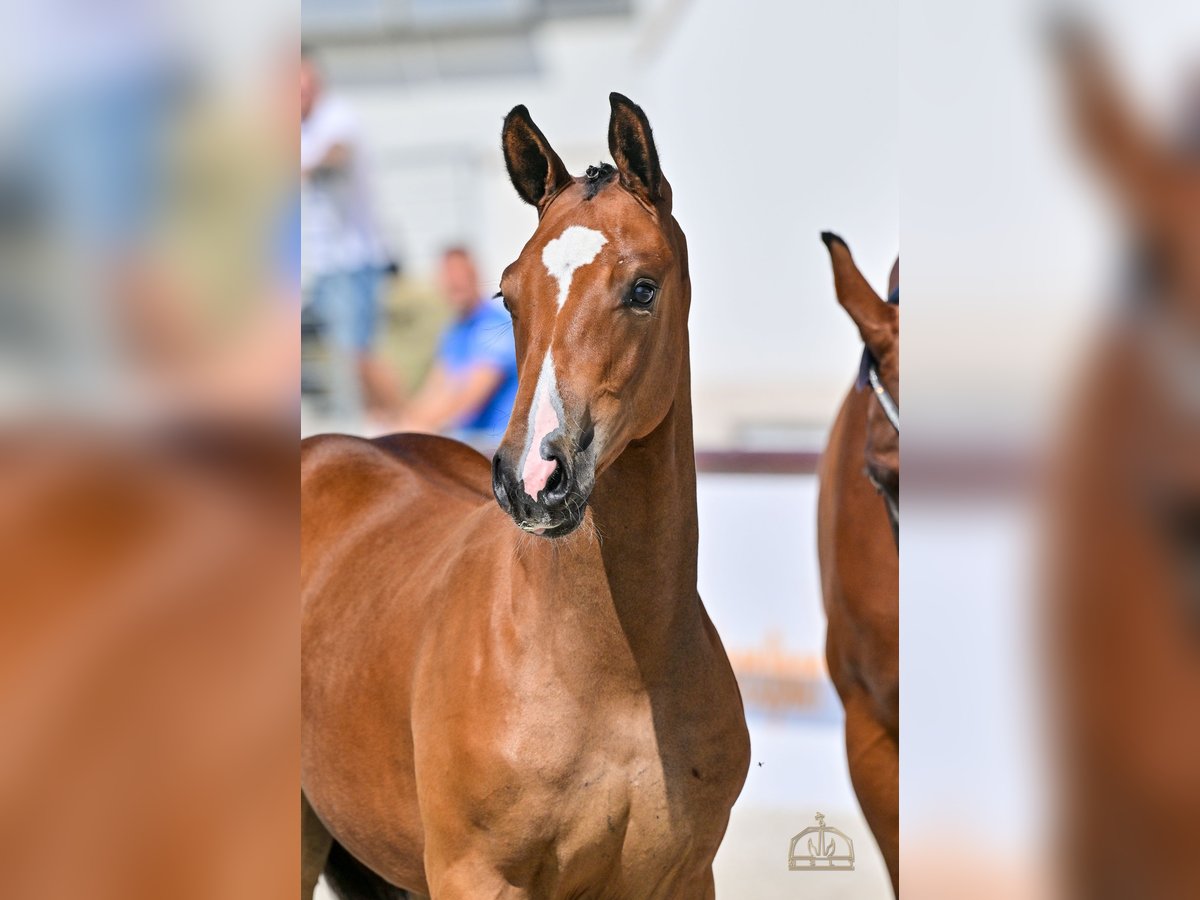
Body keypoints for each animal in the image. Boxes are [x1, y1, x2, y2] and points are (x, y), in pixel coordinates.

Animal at [300, 94, 750, 899]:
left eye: (643, 288)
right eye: (507, 294)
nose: (534, 479)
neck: (614, 671)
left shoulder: (684, 878)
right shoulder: (476, 875)